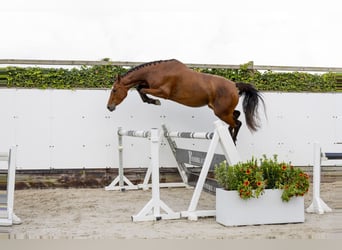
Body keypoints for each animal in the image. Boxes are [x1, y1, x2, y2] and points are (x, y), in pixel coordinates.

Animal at [107, 58, 264, 143]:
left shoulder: (163, 92)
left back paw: (232, 140)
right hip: (219, 109)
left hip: (221, 113)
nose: (109, 107)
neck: (156, 72)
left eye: (114, 90)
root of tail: (234, 85)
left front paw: (155, 102)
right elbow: (140, 88)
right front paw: (151, 101)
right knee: (237, 116)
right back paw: (231, 137)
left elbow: (142, 90)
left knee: (237, 123)